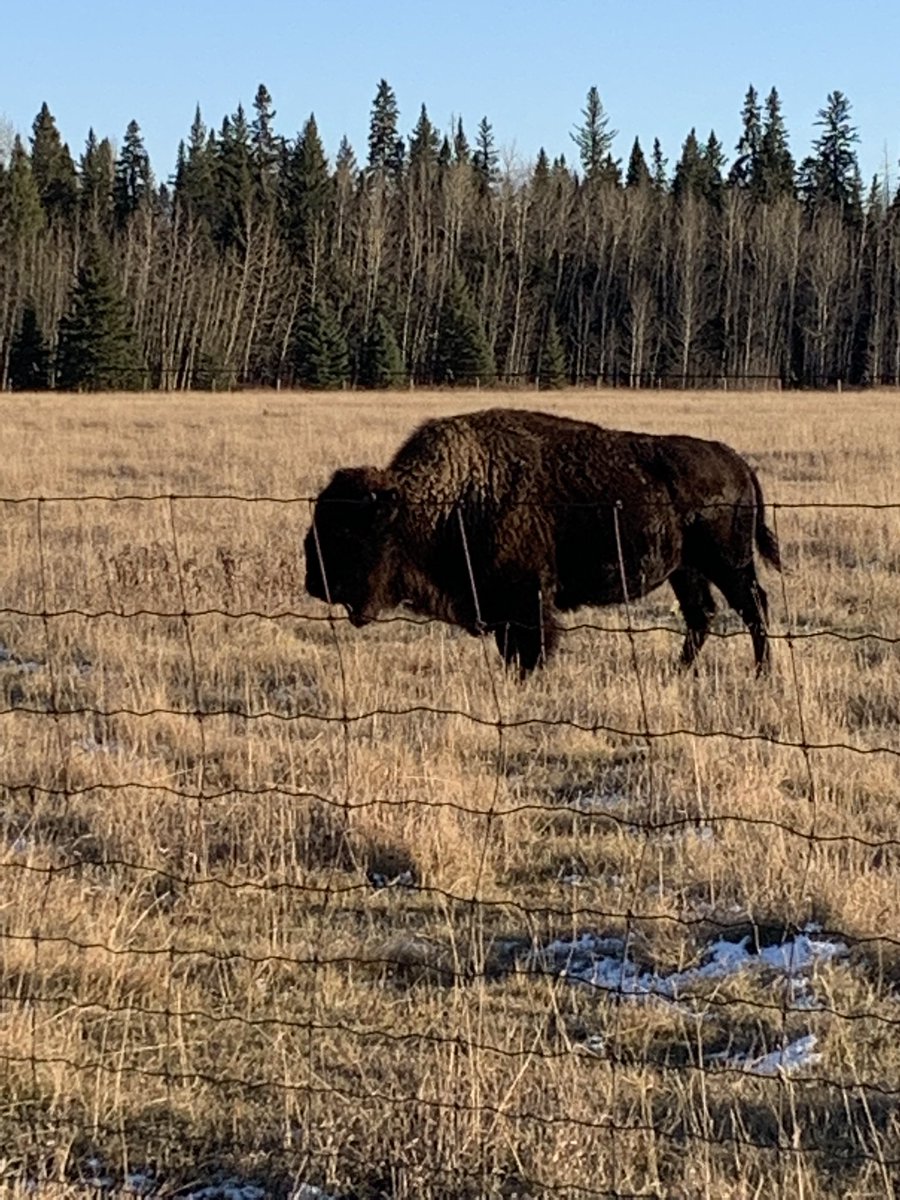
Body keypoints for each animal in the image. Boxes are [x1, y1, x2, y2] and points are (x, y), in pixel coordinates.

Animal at [304, 408, 782, 676]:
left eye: (348, 531)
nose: (315, 582)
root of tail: (736, 461)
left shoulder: (526, 600)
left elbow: (531, 647)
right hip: (686, 569)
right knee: (702, 615)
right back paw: (680, 672)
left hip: (729, 563)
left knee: (753, 607)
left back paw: (762, 674)